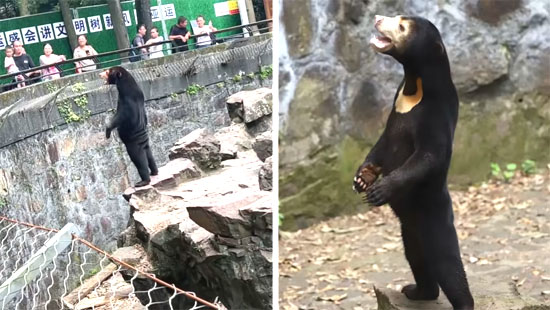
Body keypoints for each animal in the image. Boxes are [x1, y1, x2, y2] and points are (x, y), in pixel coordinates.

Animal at [356, 13, 476, 308]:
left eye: (401, 26)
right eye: (397, 16)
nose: (377, 17)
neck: (415, 85)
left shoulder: (435, 112)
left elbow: (429, 155)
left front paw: (379, 190)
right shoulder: (395, 104)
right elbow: (383, 143)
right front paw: (362, 178)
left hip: (434, 219)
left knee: (448, 265)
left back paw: (462, 302)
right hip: (409, 233)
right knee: (417, 259)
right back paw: (416, 291)